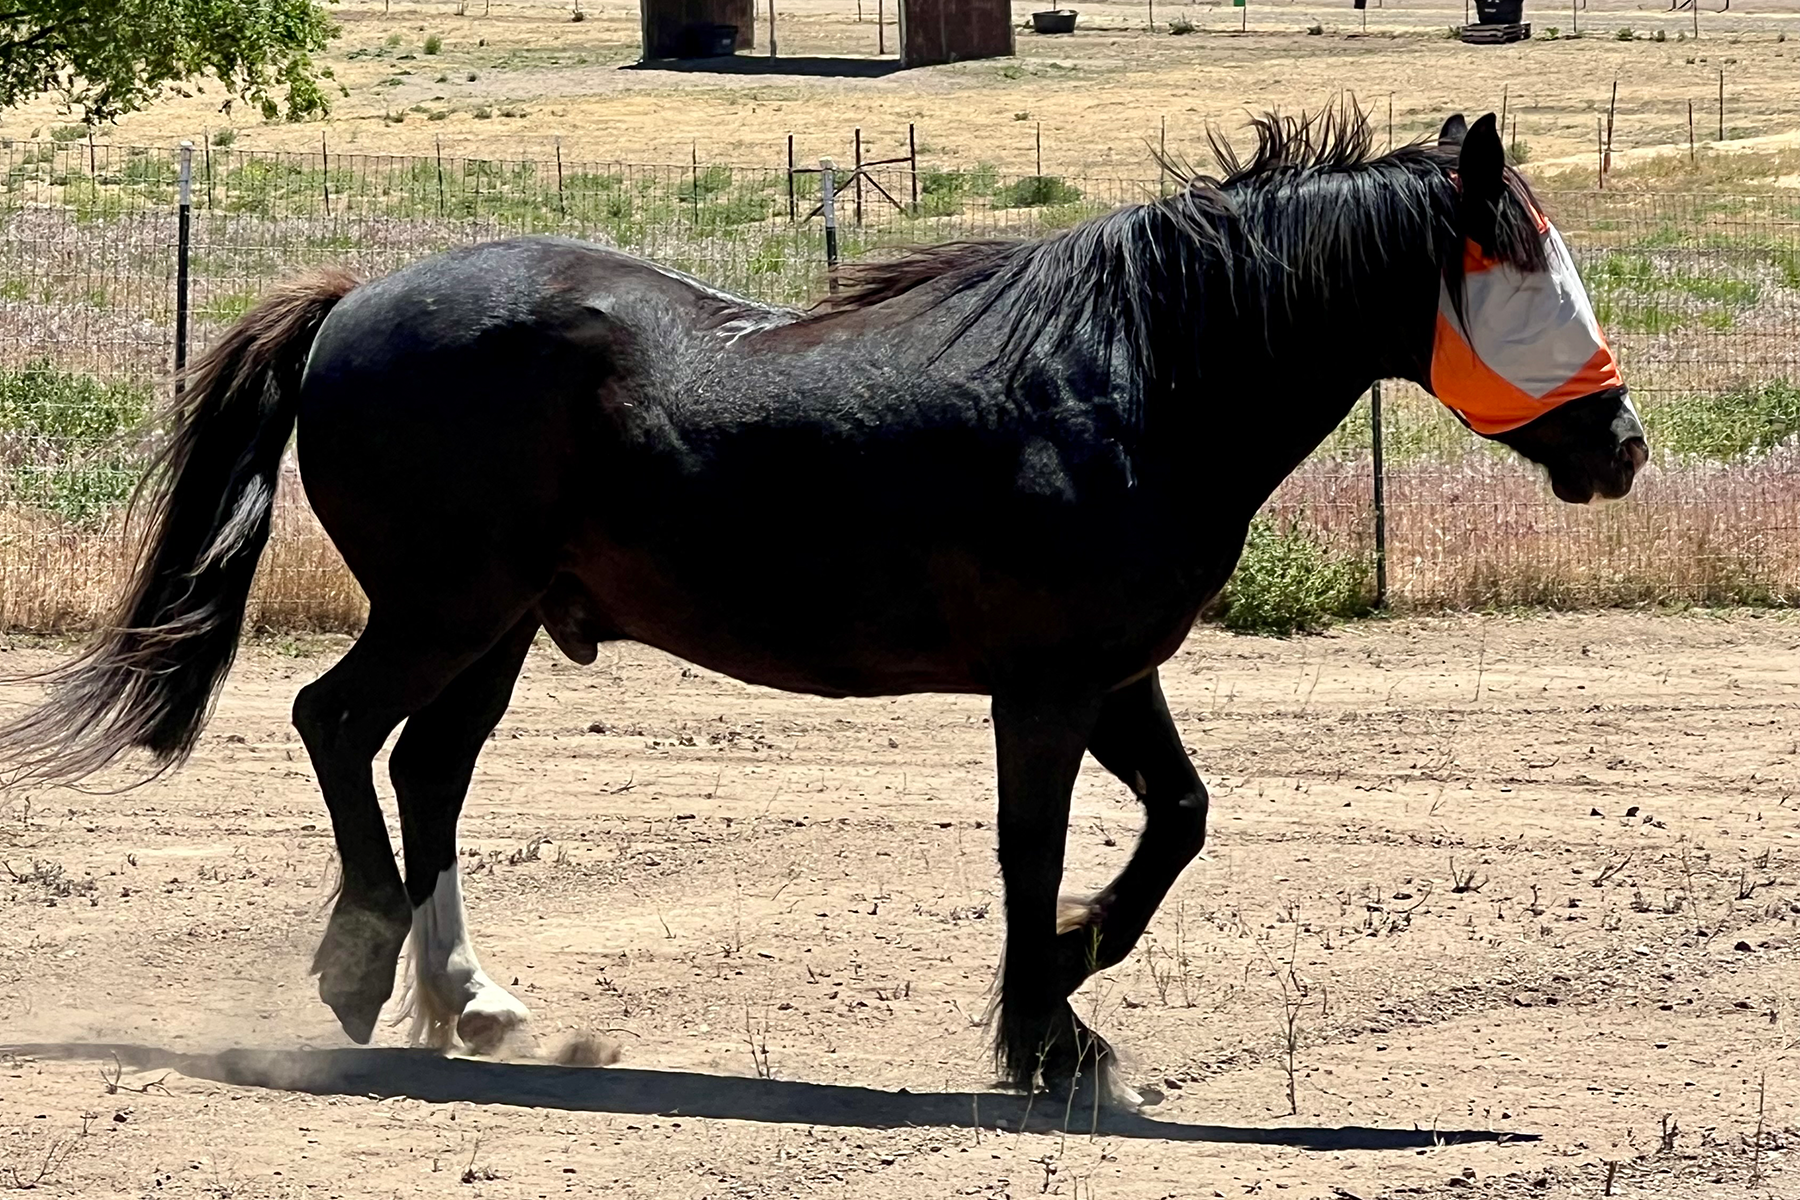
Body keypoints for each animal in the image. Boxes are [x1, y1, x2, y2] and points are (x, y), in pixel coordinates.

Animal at [0, 108, 1644, 1100]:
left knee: (428, 772)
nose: (1621, 446)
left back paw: (469, 1000)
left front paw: (1073, 984)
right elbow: (1033, 854)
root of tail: (355, 302)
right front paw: (1045, 1031)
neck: (1136, 380)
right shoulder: (1046, 690)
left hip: (501, 625)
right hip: (444, 608)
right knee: (337, 726)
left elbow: (1176, 823)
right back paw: (360, 970)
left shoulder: (1116, 676)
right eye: (1524, 265)